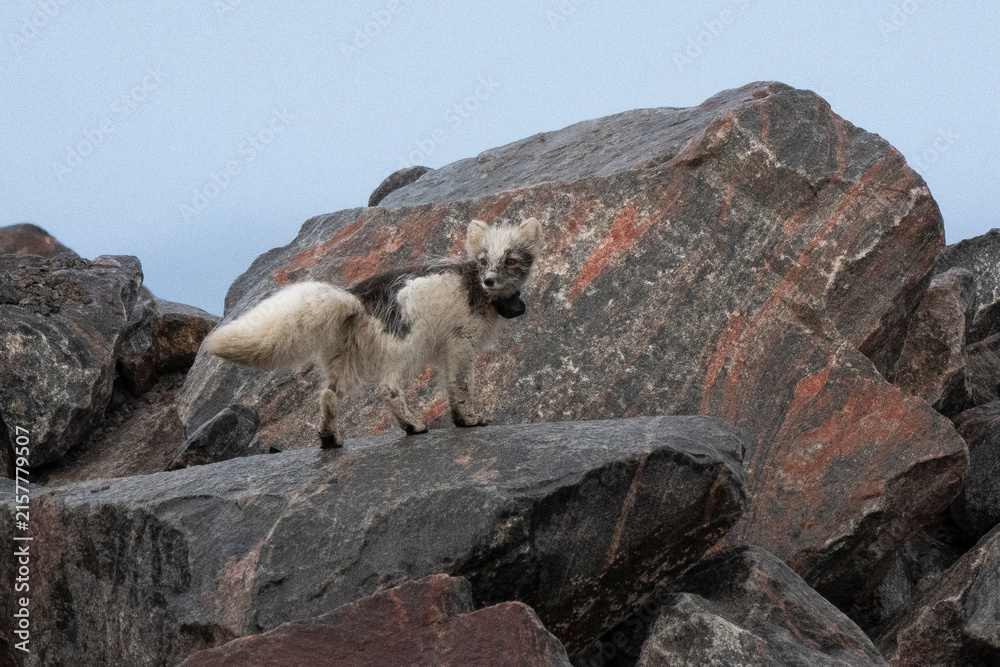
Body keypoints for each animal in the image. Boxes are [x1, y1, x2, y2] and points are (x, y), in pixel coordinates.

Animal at [202, 217, 543, 448]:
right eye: (483, 260)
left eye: (511, 260)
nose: (488, 281)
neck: (480, 292)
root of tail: (357, 298)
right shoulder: (462, 343)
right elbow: (461, 385)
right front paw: (470, 421)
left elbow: (452, 386)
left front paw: (462, 420)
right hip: (405, 349)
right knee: (387, 389)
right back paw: (413, 426)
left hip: (345, 359)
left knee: (328, 394)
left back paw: (331, 439)